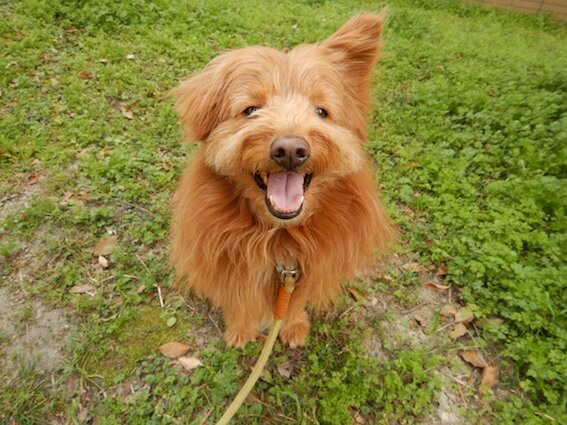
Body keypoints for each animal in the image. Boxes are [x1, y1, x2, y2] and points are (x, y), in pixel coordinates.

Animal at [171, 14, 398, 346]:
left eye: (321, 111)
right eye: (251, 110)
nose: (291, 151)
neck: (280, 238)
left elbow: (291, 306)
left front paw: (292, 327)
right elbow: (240, 303)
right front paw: (240, 330)